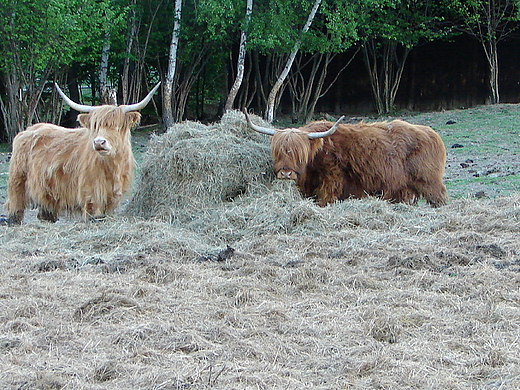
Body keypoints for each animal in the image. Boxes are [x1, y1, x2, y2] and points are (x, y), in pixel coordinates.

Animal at [244, 109, 446, 207]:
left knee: (439, 198)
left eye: (299, 153)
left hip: (429, 181)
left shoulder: (330, 183)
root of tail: (431, 133)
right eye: (278, 152)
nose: (286, 173)